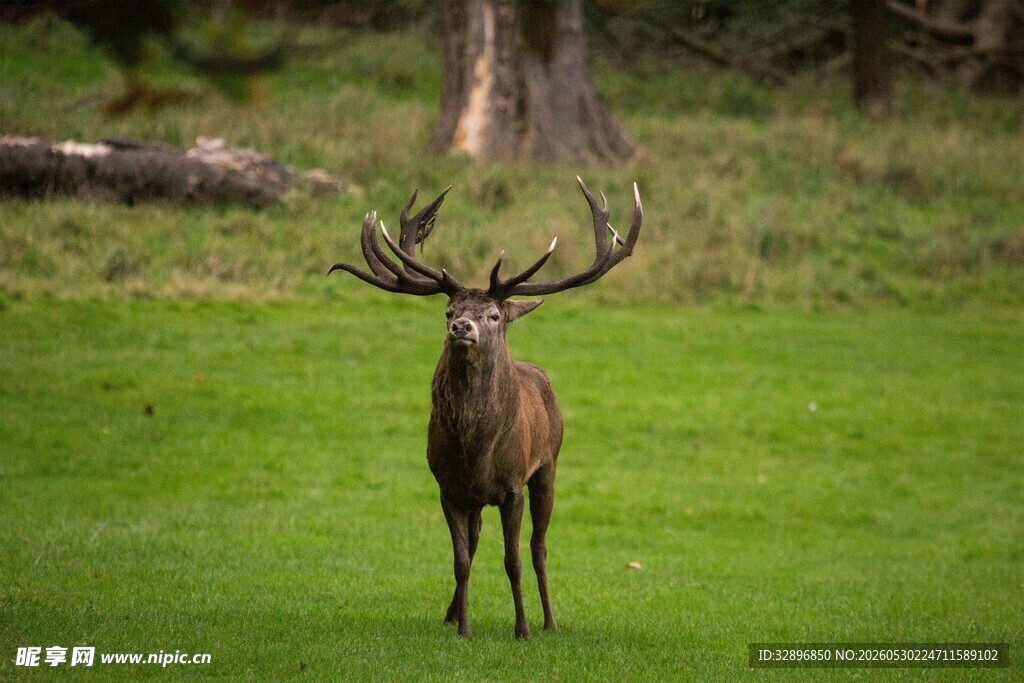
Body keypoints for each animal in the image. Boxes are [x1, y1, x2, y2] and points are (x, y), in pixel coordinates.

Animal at [327, 177, 642, 639]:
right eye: (448, 311)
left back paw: (550, 621)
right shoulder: (448, 487)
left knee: (539, 546)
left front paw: (523, 629)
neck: (476, 450)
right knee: (475, 546)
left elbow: (514, 560)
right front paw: (463, 629)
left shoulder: (512, 486)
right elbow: (461, 560)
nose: (462, 327)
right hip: (477, 498)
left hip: (549, 466)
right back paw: (451, 615)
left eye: (494, 315)